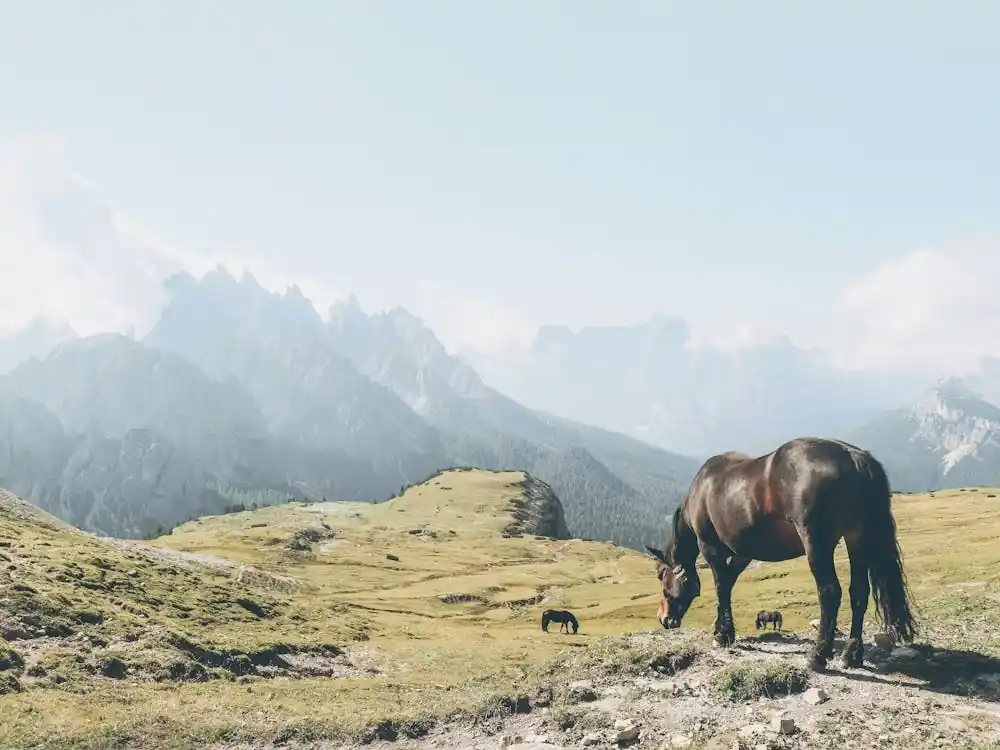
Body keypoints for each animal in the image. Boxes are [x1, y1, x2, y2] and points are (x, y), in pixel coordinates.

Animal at [644, 437, 917, 671]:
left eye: (661, 576)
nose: (664, 618)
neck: (701, 492)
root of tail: (853, 456)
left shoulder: (711, 548)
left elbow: (721, 587)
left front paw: (723, 635)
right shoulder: (743, 553)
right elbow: (729, 585)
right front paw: (722, 629)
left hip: (817, 543)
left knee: (830, 592)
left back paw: (818, 655)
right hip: (855, 538)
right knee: (858, 594)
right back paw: (851, 654)